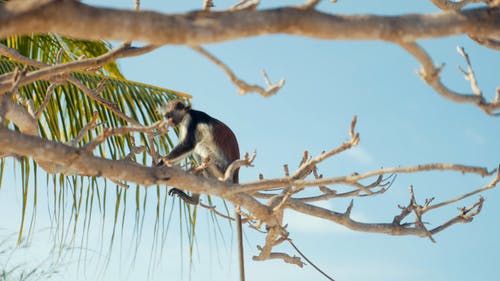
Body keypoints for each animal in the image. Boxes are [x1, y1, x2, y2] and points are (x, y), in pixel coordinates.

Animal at [156, 98, 244, 278]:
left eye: (169, 116)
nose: (168, 123)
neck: (187, 113)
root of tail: (234, 173)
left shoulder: (190, 121)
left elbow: (188, 144)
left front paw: (161, 163)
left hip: (218, 166)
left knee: (200, 148)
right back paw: (193, 198)